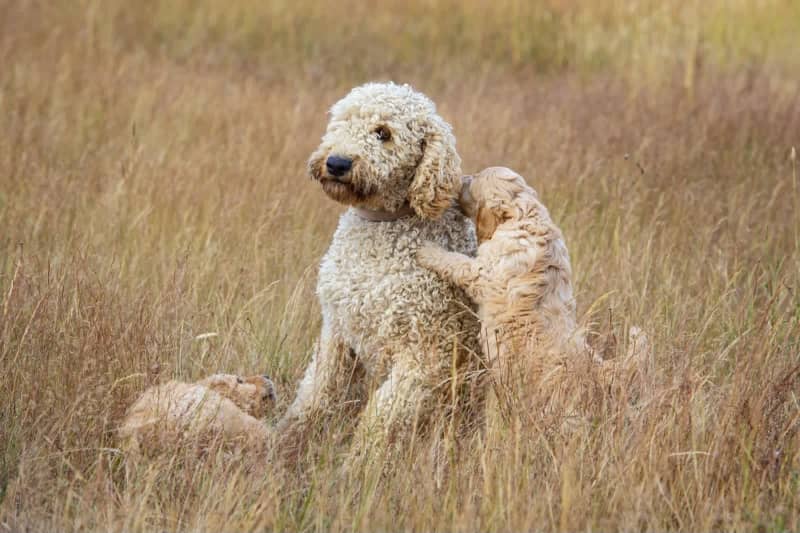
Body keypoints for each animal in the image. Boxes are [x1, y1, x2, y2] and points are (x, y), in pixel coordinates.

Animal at [276, 81, 482, 460]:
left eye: (383, 133)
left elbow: (381, 417)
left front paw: (357, 465)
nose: (337, 162)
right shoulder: (337, 334)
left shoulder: (425, 355)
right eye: (342, 120)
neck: (381, 226)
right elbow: (314, 396)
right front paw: (283, 442)